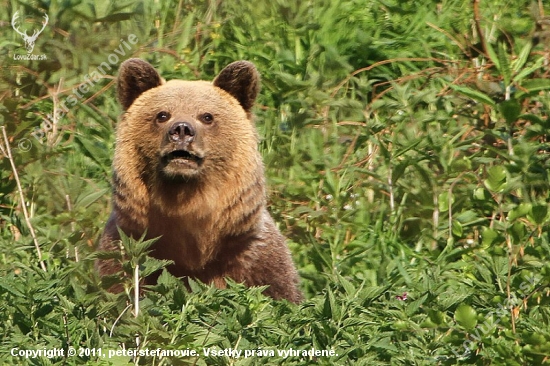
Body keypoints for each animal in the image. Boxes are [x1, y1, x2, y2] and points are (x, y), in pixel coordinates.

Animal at [99, 57, 306, 304]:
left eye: (207, 116)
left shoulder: (251, 256)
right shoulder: (126, 247)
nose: (181, 130)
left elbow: (278, 293)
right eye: (162, 114)